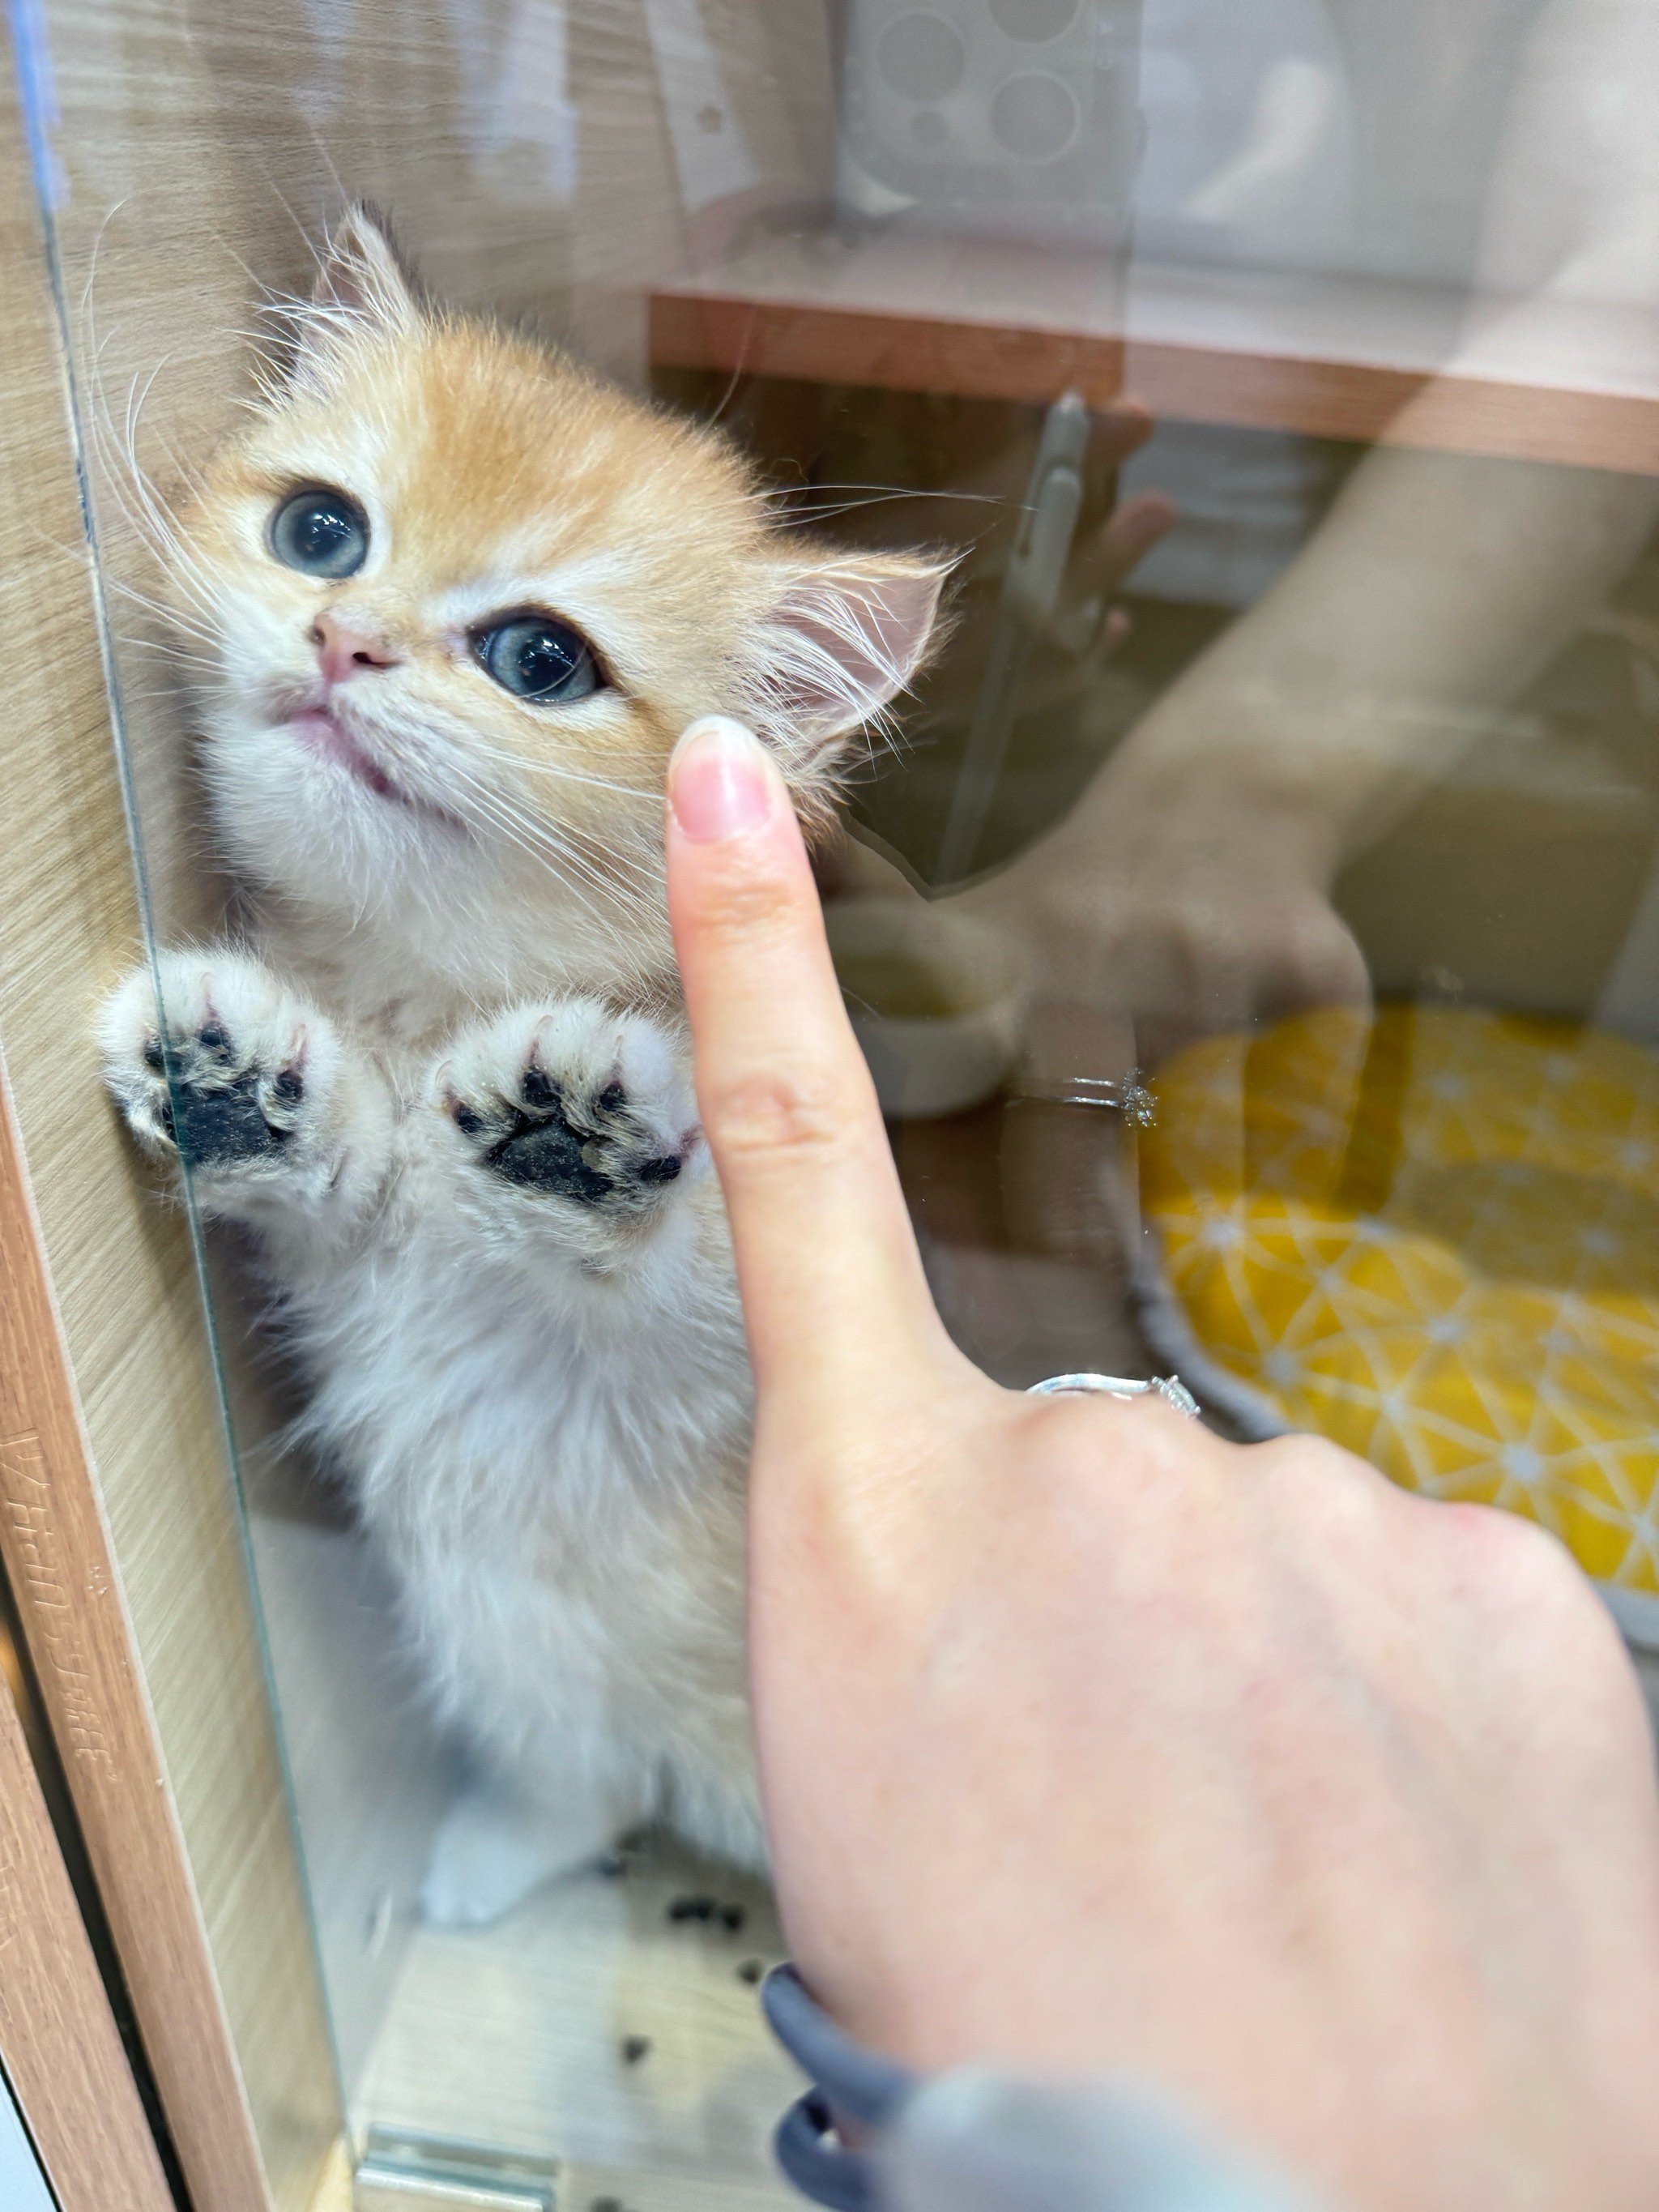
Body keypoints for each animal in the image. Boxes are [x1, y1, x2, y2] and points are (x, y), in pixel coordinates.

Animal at [97, 211, 942, 1937]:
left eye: (539, 660)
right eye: (321, 530)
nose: (343, 639)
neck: (425, 995)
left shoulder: (721, 1358)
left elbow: (680, 1265)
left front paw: (577, 1126)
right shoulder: (357, 1247)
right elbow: (344, 1164)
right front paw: (235, 1070)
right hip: (496, 1618)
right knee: (590, 1777)